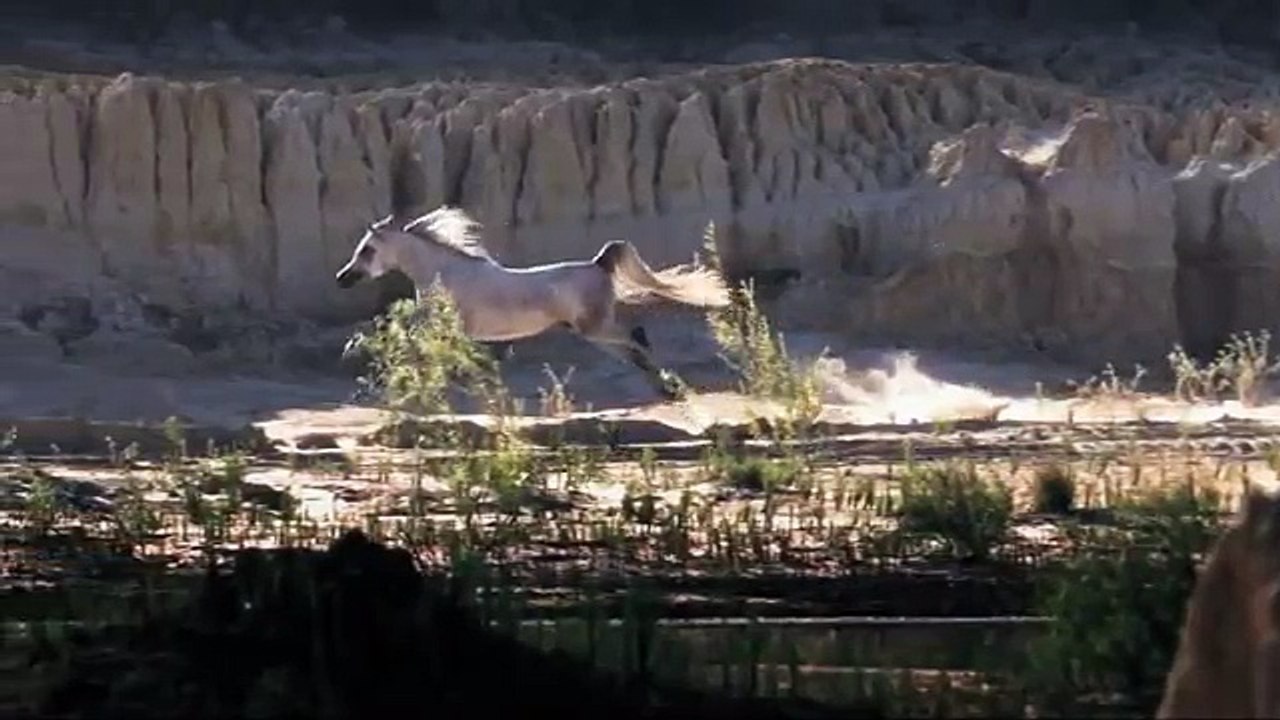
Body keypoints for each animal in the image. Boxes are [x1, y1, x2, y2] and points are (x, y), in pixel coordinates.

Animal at [334, 206, 731, 400]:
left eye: (367, 250)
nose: (342, 278)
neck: (445, 273)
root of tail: (598, 263)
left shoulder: (446, 328)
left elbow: (417, 350)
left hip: (597, 328)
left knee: (637, 337)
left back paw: (668, 388)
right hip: (594, 334)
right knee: (633, 349)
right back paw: (664, 389)